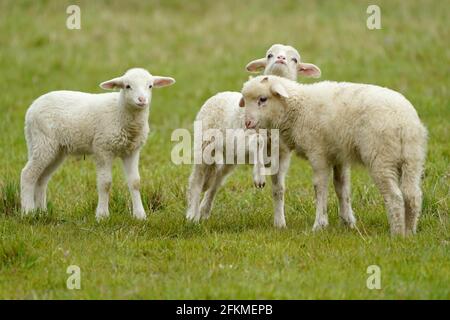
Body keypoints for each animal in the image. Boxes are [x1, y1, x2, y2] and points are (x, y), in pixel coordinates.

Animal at [21, 67, 176, 220]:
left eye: (150, 86)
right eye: (127, 86)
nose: (142, 100)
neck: (119, 112)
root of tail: (31, 108)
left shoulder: (132, 151)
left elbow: (135, 182)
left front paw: (140, 215)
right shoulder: (103, 148)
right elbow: (105, 183)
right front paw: (102, 215)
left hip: (56, 149)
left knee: (42, 179)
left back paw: (42, 212)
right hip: (42, 141)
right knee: (28, 174)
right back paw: (28, 211)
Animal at [185, 44, 320, 228]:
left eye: (295, 59)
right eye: (269, 55)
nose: (281, 59)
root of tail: (217, 95)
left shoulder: (282, 156)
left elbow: (279, 190)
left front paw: (280, 222)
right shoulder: (245, 137)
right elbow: (258, 143)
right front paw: (259, 177)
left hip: (230, 158)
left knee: (216, 181)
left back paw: (204, 211)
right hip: (205, 145)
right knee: (196, 180)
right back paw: (192, 215)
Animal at [241, 75, 428, 235]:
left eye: (262, 99)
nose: (247, 123)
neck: (298, 109)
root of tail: (403, 123)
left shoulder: (318, 153)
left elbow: (320, 187)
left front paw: (319, 225)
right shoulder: (339, 156)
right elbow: (342, 188)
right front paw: (347, 222)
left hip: (382, 157)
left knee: (395, 197)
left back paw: (397, 234)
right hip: (413, 157)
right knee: (412, 195)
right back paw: (410, 232)